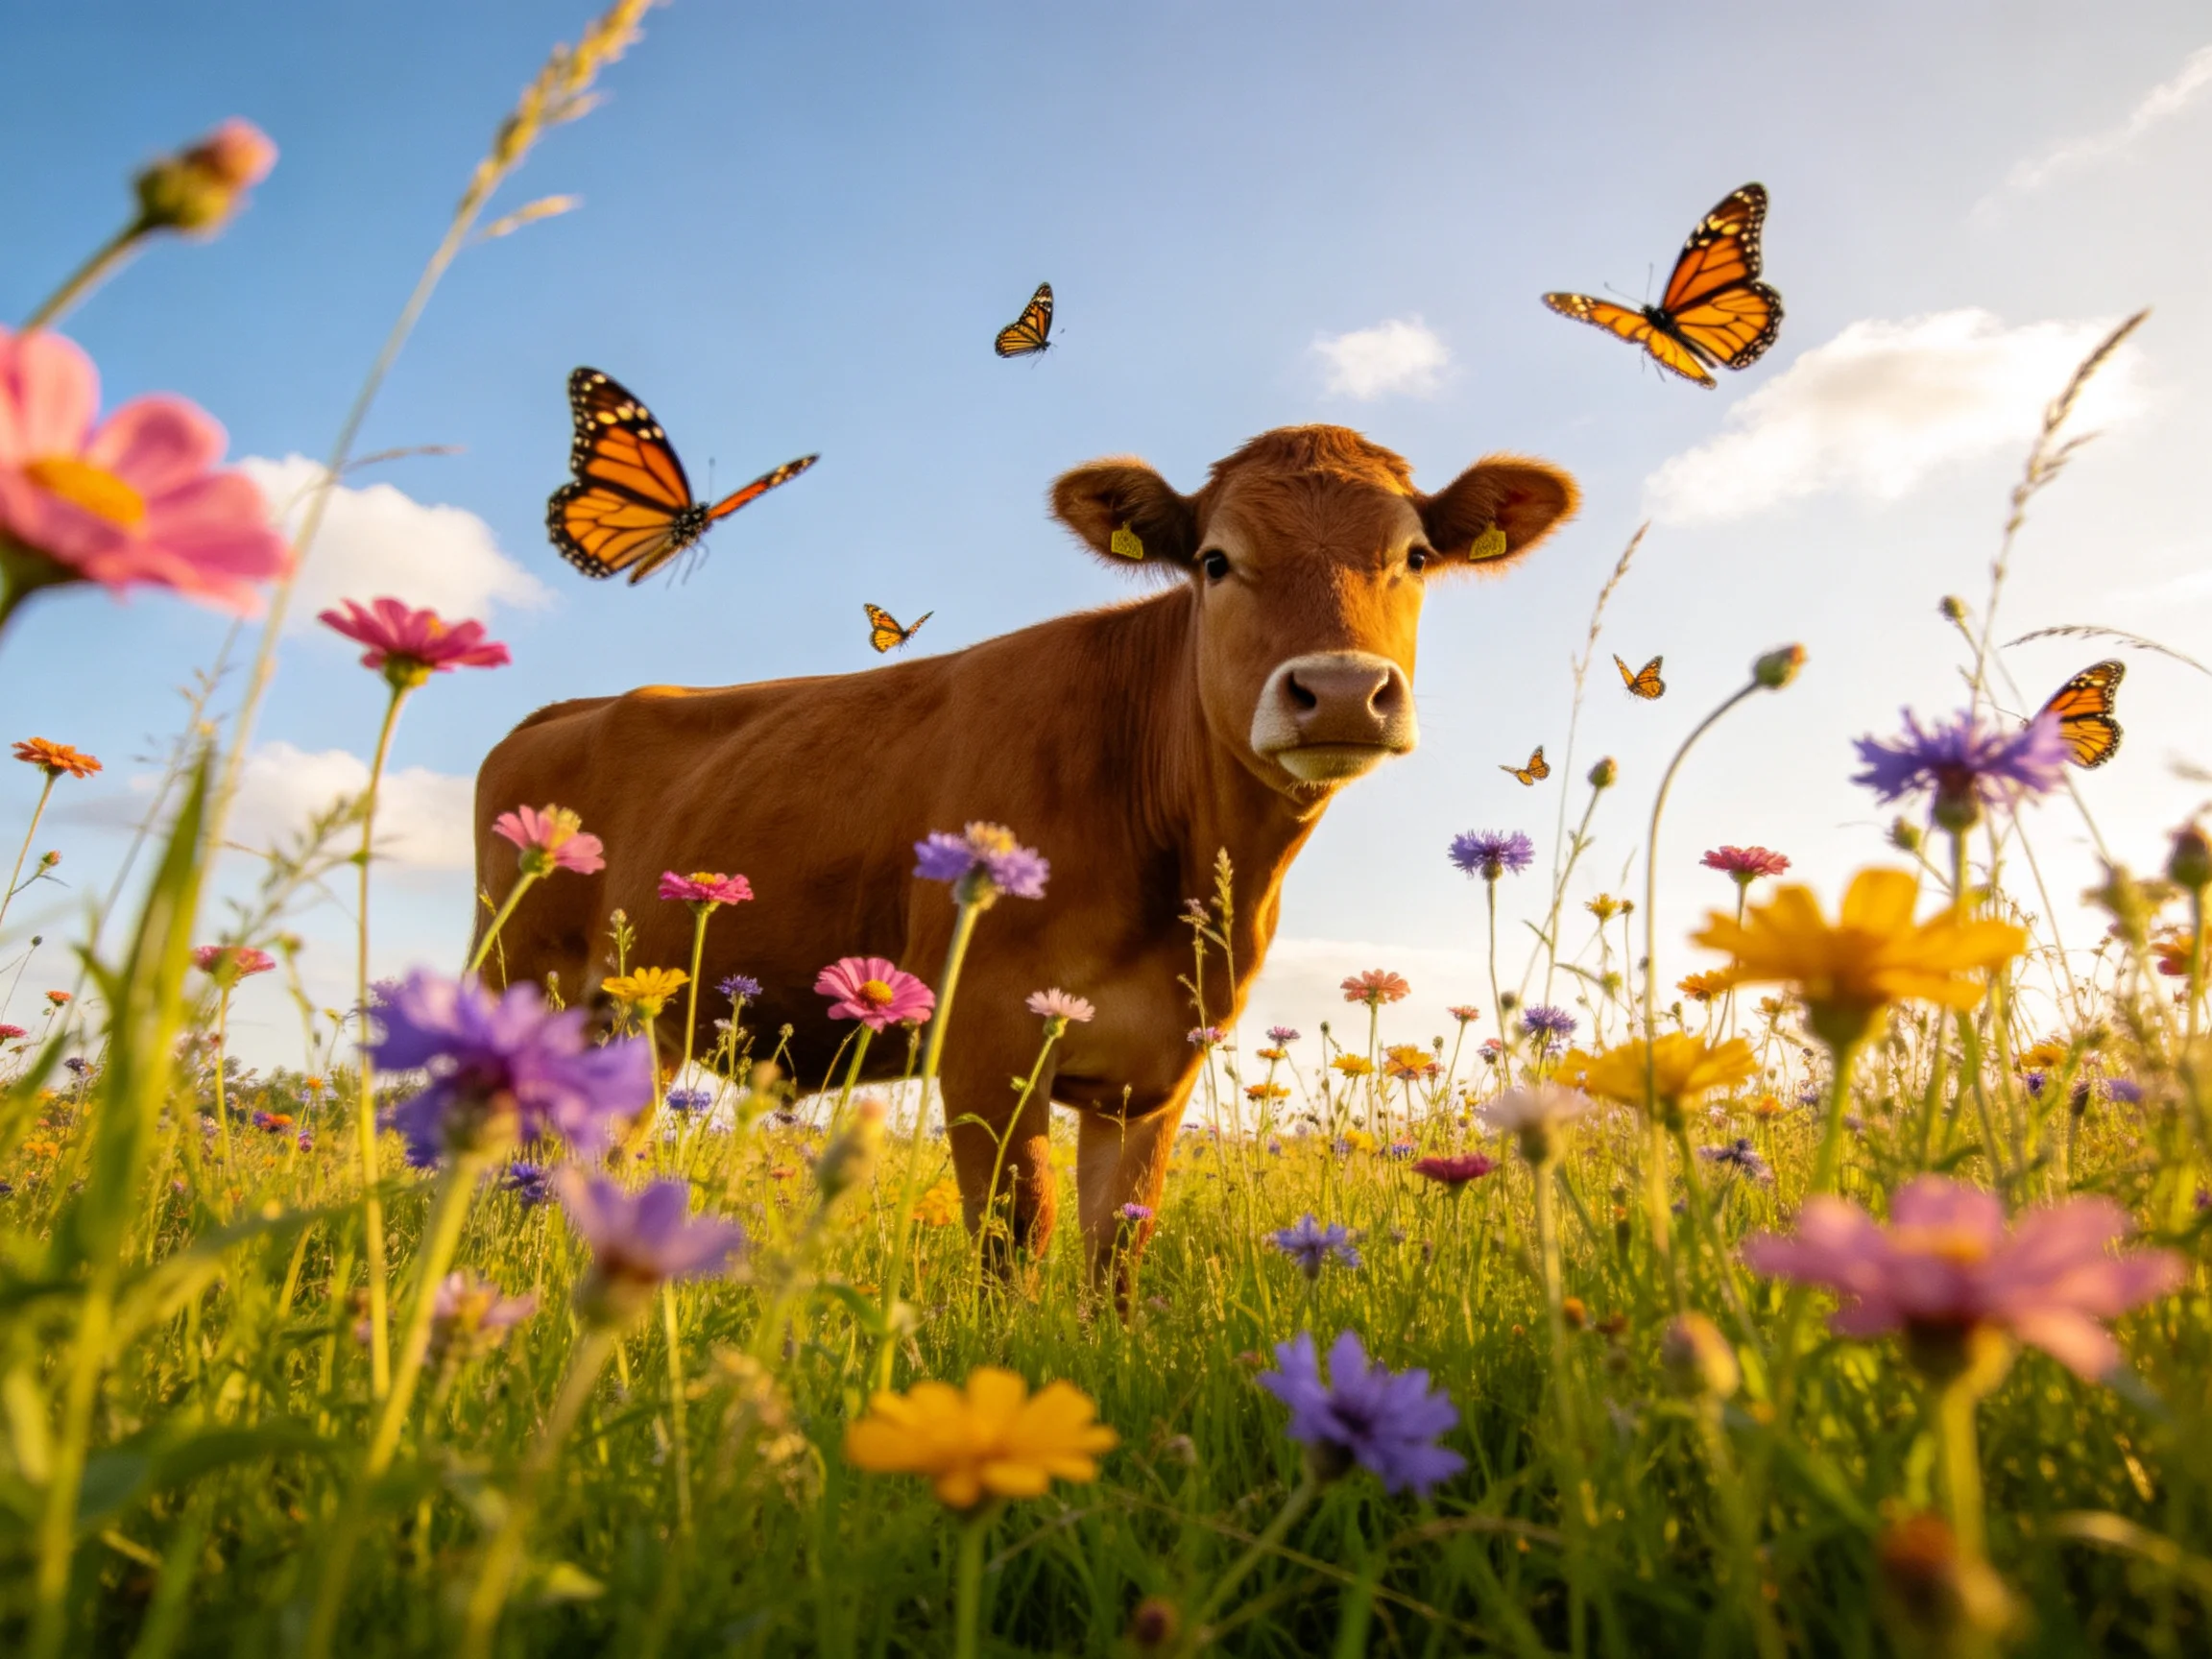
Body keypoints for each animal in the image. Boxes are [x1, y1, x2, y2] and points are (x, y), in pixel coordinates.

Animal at [474, 425, 1577, 1289]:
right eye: (1216, 561)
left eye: (1417, 557)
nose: (1342, 690)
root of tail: (566, 709)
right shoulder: (984, 1033)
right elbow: (1014, 1241)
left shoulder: (1160, 1064)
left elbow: (1117, 1255)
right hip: (517, 986)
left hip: (634, 1031)